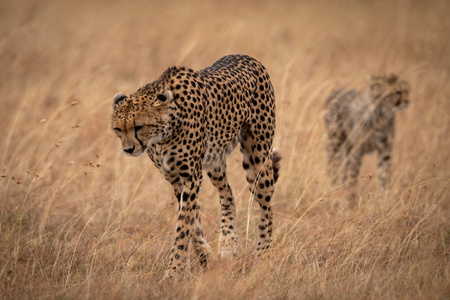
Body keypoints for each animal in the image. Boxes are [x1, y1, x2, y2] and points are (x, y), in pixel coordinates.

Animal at [111, 54, 280, 276]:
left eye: (139, 126)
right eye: (118, 129)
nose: (128, 149)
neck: (164, 133)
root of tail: (247, 57)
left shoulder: (191, 177)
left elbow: (184, 225)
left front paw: (174, 271)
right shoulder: (176, 179)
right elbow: (192, 222)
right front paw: (205, 256)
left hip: (257, 160)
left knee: (267, 207)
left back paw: (263, 254)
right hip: (215, 163)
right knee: (228, 193)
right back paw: (228, 243)